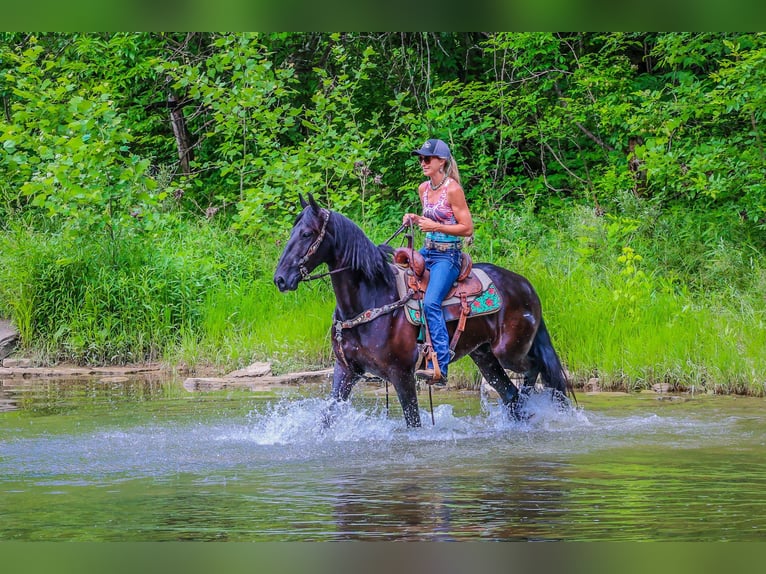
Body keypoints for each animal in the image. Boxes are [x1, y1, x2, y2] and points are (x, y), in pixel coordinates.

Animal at [274, 197, 568, 428]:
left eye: (307, 234)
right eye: (292, 232)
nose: (280, 279)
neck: (370, 300)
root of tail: (525, 285)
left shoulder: (402, 374)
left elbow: (413, 422)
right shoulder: (346, 371)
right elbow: (327, 417)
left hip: (509, 351)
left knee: (535, 369)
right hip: (484, 356)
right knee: (511, 396)